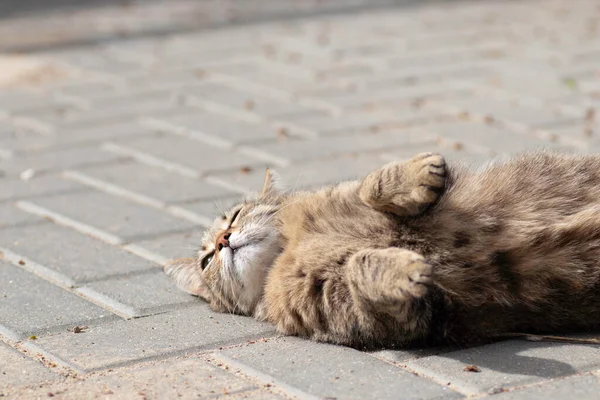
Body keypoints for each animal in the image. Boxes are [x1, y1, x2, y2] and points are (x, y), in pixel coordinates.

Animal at [163, 152, 600, 348]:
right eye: (207, 260)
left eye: (235, 215)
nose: (223, 240)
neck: (286, 252)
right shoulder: (391, 318)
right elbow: (362, 265)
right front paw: (403, 268)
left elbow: (370, 184)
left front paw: (416, 173)